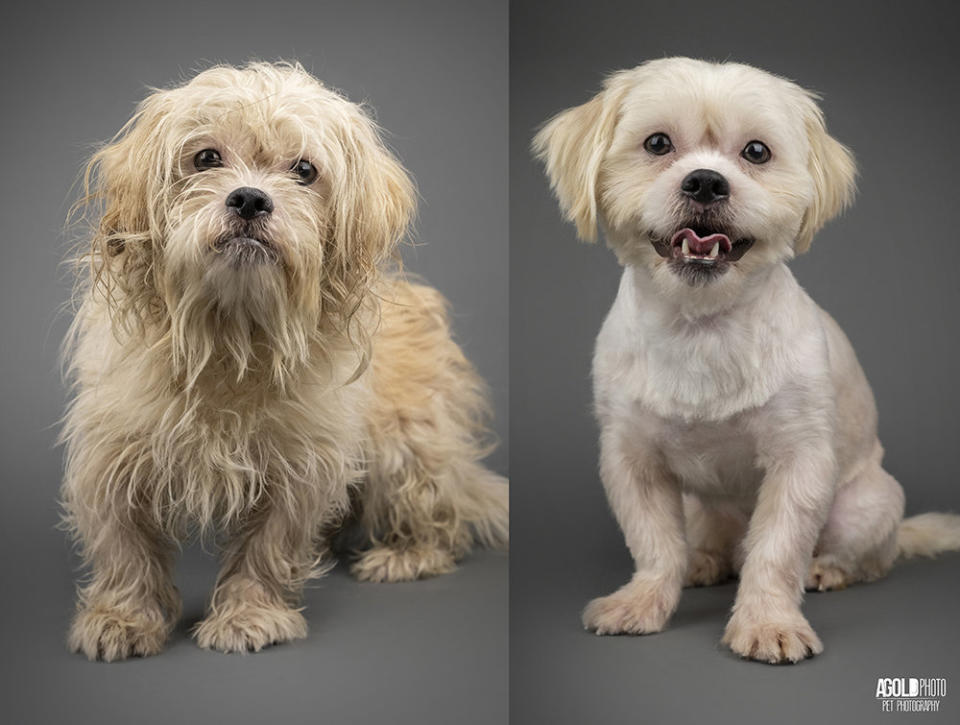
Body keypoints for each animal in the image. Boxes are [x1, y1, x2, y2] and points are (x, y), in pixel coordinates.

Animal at [60, 62, 510, 660]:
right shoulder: (114, 454)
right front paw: (124, 616)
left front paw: (250, 614)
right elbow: (125, 547)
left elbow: (266, 546)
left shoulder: (299, 465)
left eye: (304, 170)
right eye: (206, 157)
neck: (233, 332)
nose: (250, 200)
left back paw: (406, 553)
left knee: (443, 516)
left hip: (410, 443)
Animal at [536, 59, 960, 664]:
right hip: (698, 508)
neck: (702, 327)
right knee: (710, 545)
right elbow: (655, 545)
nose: (705, 181)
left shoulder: (799, 462)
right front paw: (643, 602)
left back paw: (828, 569)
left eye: (756, 152)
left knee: (862, 558)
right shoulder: (632, 459)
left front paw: (768, 623)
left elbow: (776, 552)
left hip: (869, 504)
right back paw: (704, 561)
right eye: (657, 143)